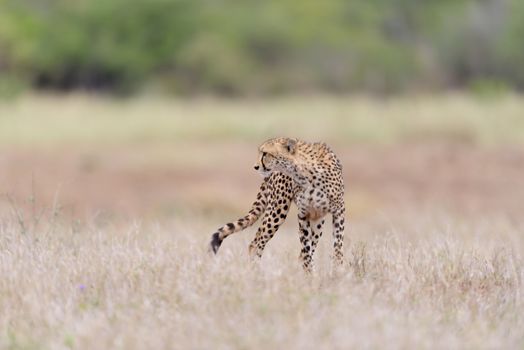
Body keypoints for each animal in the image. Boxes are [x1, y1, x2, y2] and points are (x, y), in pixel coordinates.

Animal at [211, 137, 346, 270]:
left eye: (265, 153)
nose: (255, 166)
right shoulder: (303, 214)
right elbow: (306, 248)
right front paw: (310, 272)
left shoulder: (338, 211)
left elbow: (337, 245)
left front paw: (336, 271)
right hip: (278, 210)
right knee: (256, 243)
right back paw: (255, 271)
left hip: (317, 219)